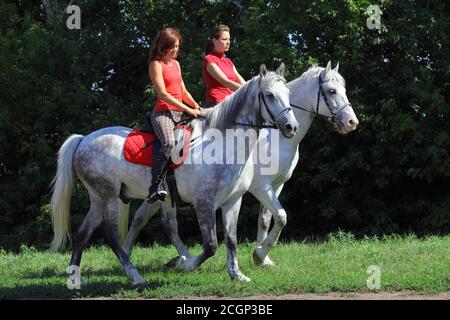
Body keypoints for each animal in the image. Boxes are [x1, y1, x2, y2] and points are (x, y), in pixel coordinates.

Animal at [49, 63, 298, 286]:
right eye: (269, 95)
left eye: (288, 93)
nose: (291, 127)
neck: (222, 144)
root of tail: (83, 140)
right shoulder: (204, 203)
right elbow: (210, 246)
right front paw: (182, 263)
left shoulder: (232, 201)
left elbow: (231, 240)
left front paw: (236, 275)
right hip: (109, 195)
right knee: (111, 237)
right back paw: (135, 277)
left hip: (98, 198)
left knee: (82, 233)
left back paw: (75, 279)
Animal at [120, 61, 358, 282]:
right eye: (332, 91)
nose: (351, 122)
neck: (273, 137)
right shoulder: (261, 186)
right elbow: (281, 216)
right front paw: (259, 254)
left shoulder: (276, 185)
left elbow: (266, 219)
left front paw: (263, 258)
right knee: (159, 222)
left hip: (163, 195)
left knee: (145, 219)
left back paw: (152, 257)